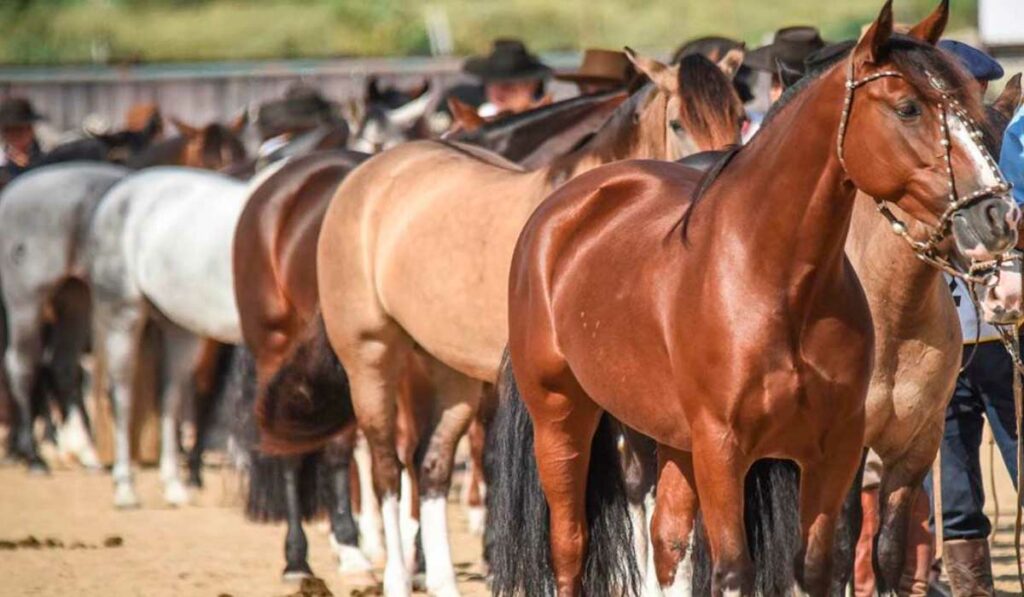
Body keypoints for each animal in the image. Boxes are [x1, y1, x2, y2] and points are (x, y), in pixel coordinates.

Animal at [0, 162, 132, 471]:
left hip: (75, 296)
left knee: (61, 365)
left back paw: (82, 451)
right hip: (26, 301)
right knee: (22, 365)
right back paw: (32, 455)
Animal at [311, 52, 745, 597]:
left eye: (740, 114)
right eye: (677, 123)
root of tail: (370, 171)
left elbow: (642, 489)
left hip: (449, 371)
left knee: (430, 466)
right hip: (372, 358)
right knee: (386, 465)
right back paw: (389, 573)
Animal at [491, 2, 1019, 593]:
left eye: (974, 112)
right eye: (908, 108)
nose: (999, 217)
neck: (777, 283)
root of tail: (561, 209)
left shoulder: (839, 451)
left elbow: (822, 566)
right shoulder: (724, 454)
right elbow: (734, 571)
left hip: (671, 439)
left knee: (666, 539)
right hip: (562, 420)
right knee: (571, 547)